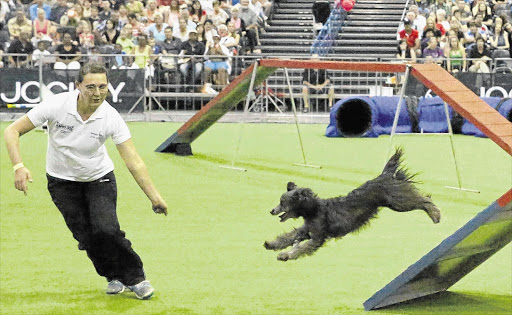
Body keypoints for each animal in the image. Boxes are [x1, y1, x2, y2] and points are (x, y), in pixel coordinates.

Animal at [264, 148, 440, 262]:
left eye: (283, 202)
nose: (272, 210)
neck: (314, 209)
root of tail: (384, 175)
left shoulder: (317, 238)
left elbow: (300, 248)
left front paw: (285, 255)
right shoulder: (304, 231)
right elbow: (287, 237)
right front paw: (271, 244)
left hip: (398, 202)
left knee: (424, 200)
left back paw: (435, 214)